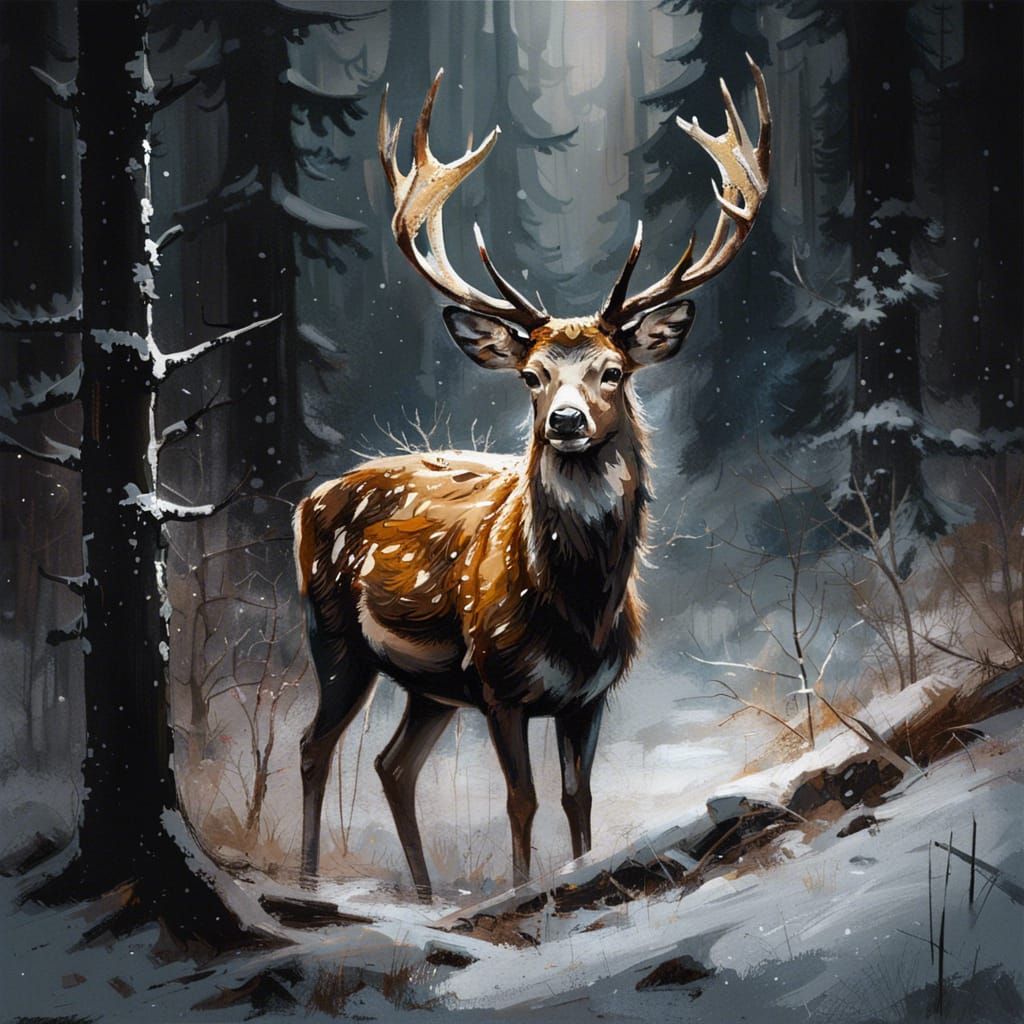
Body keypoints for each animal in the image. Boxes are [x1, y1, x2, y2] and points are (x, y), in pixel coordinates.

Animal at [294, 60, 770, 899]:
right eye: (531, 375)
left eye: (614, 371)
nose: (567, 421)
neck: (577, 613)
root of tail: (302, 503)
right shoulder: (499, 684)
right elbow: (522, 803)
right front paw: (523, 894)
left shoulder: (589, 696)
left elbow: (579, 801)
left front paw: (581, 873)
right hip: (337, 638)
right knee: (315, 750)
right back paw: (313, 884)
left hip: (425, 687)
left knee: (390, 766)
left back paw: (425, 894)